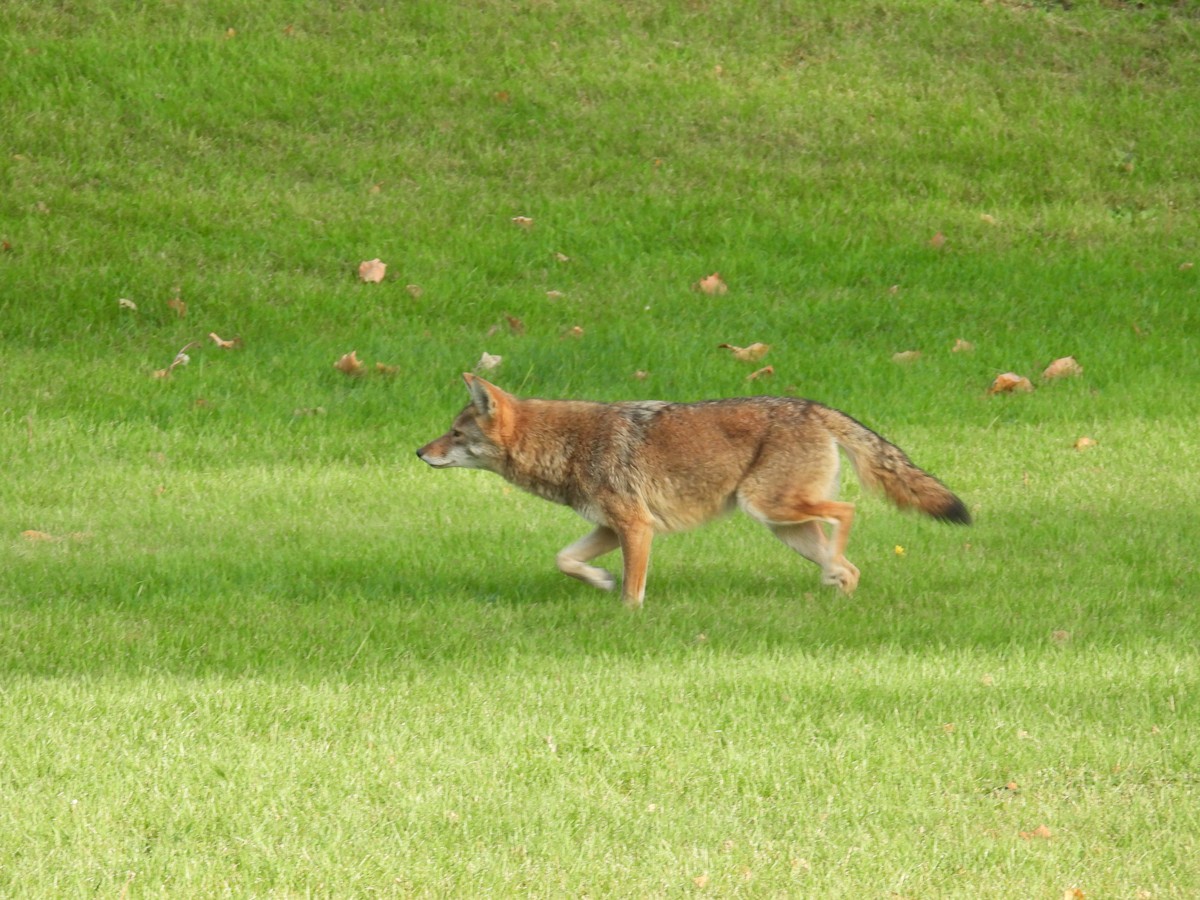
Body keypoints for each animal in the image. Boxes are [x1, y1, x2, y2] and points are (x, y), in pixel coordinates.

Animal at [417, 374, 970, 609]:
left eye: (456, 434)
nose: (420, 452)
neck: (568, 445)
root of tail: (813, 406)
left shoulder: (637, 527)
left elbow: (634, 592)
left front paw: (625, 615)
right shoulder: (610, 528)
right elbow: (565, 560)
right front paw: (599, 581)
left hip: (770, 507)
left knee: (848, 510)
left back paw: (833, 571)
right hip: (783, 526)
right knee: (850, 564)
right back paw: (836, 586)